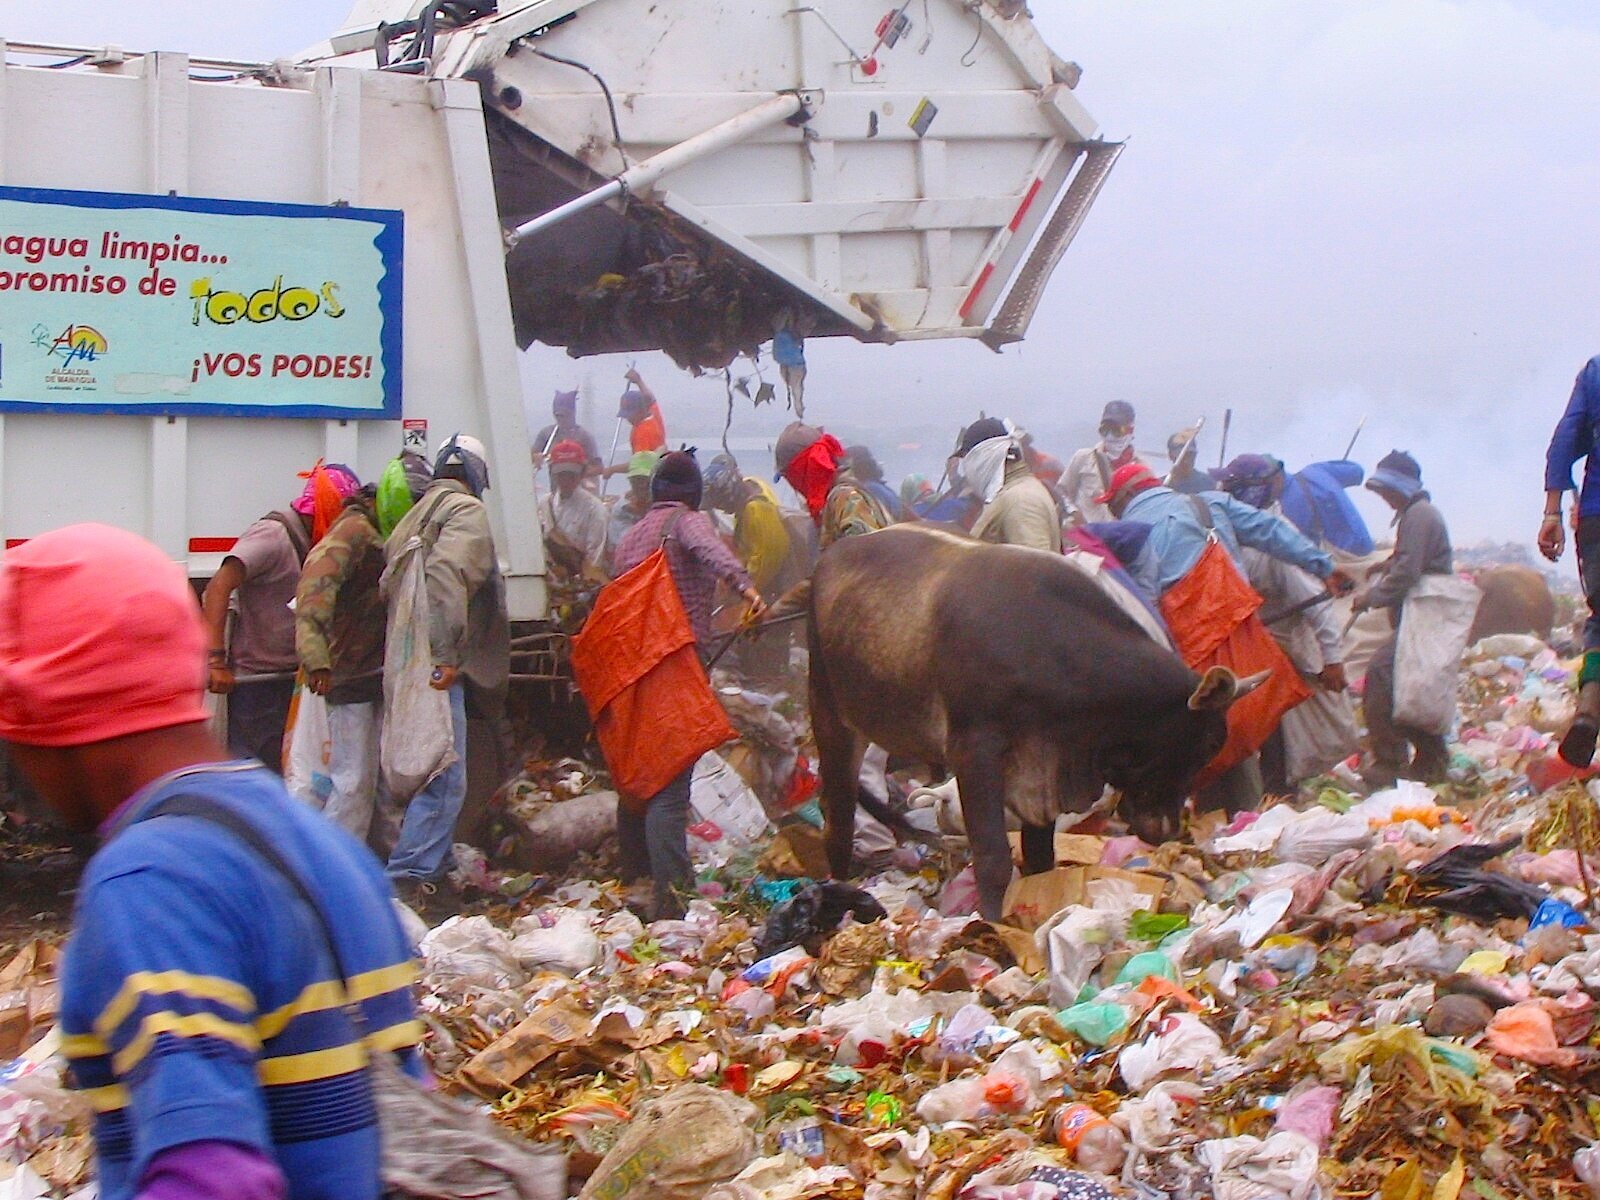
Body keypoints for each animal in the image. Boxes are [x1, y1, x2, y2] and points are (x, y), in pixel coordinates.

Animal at [812, 524, 1260, 921]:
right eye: (1207, 744)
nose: (1166, 829)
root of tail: (836, 552)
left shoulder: (1042, 774)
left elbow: (1041, 860)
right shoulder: (974, 752)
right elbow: (993, 859)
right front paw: (993, 925)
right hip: (831, 720)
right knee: (838, 824)